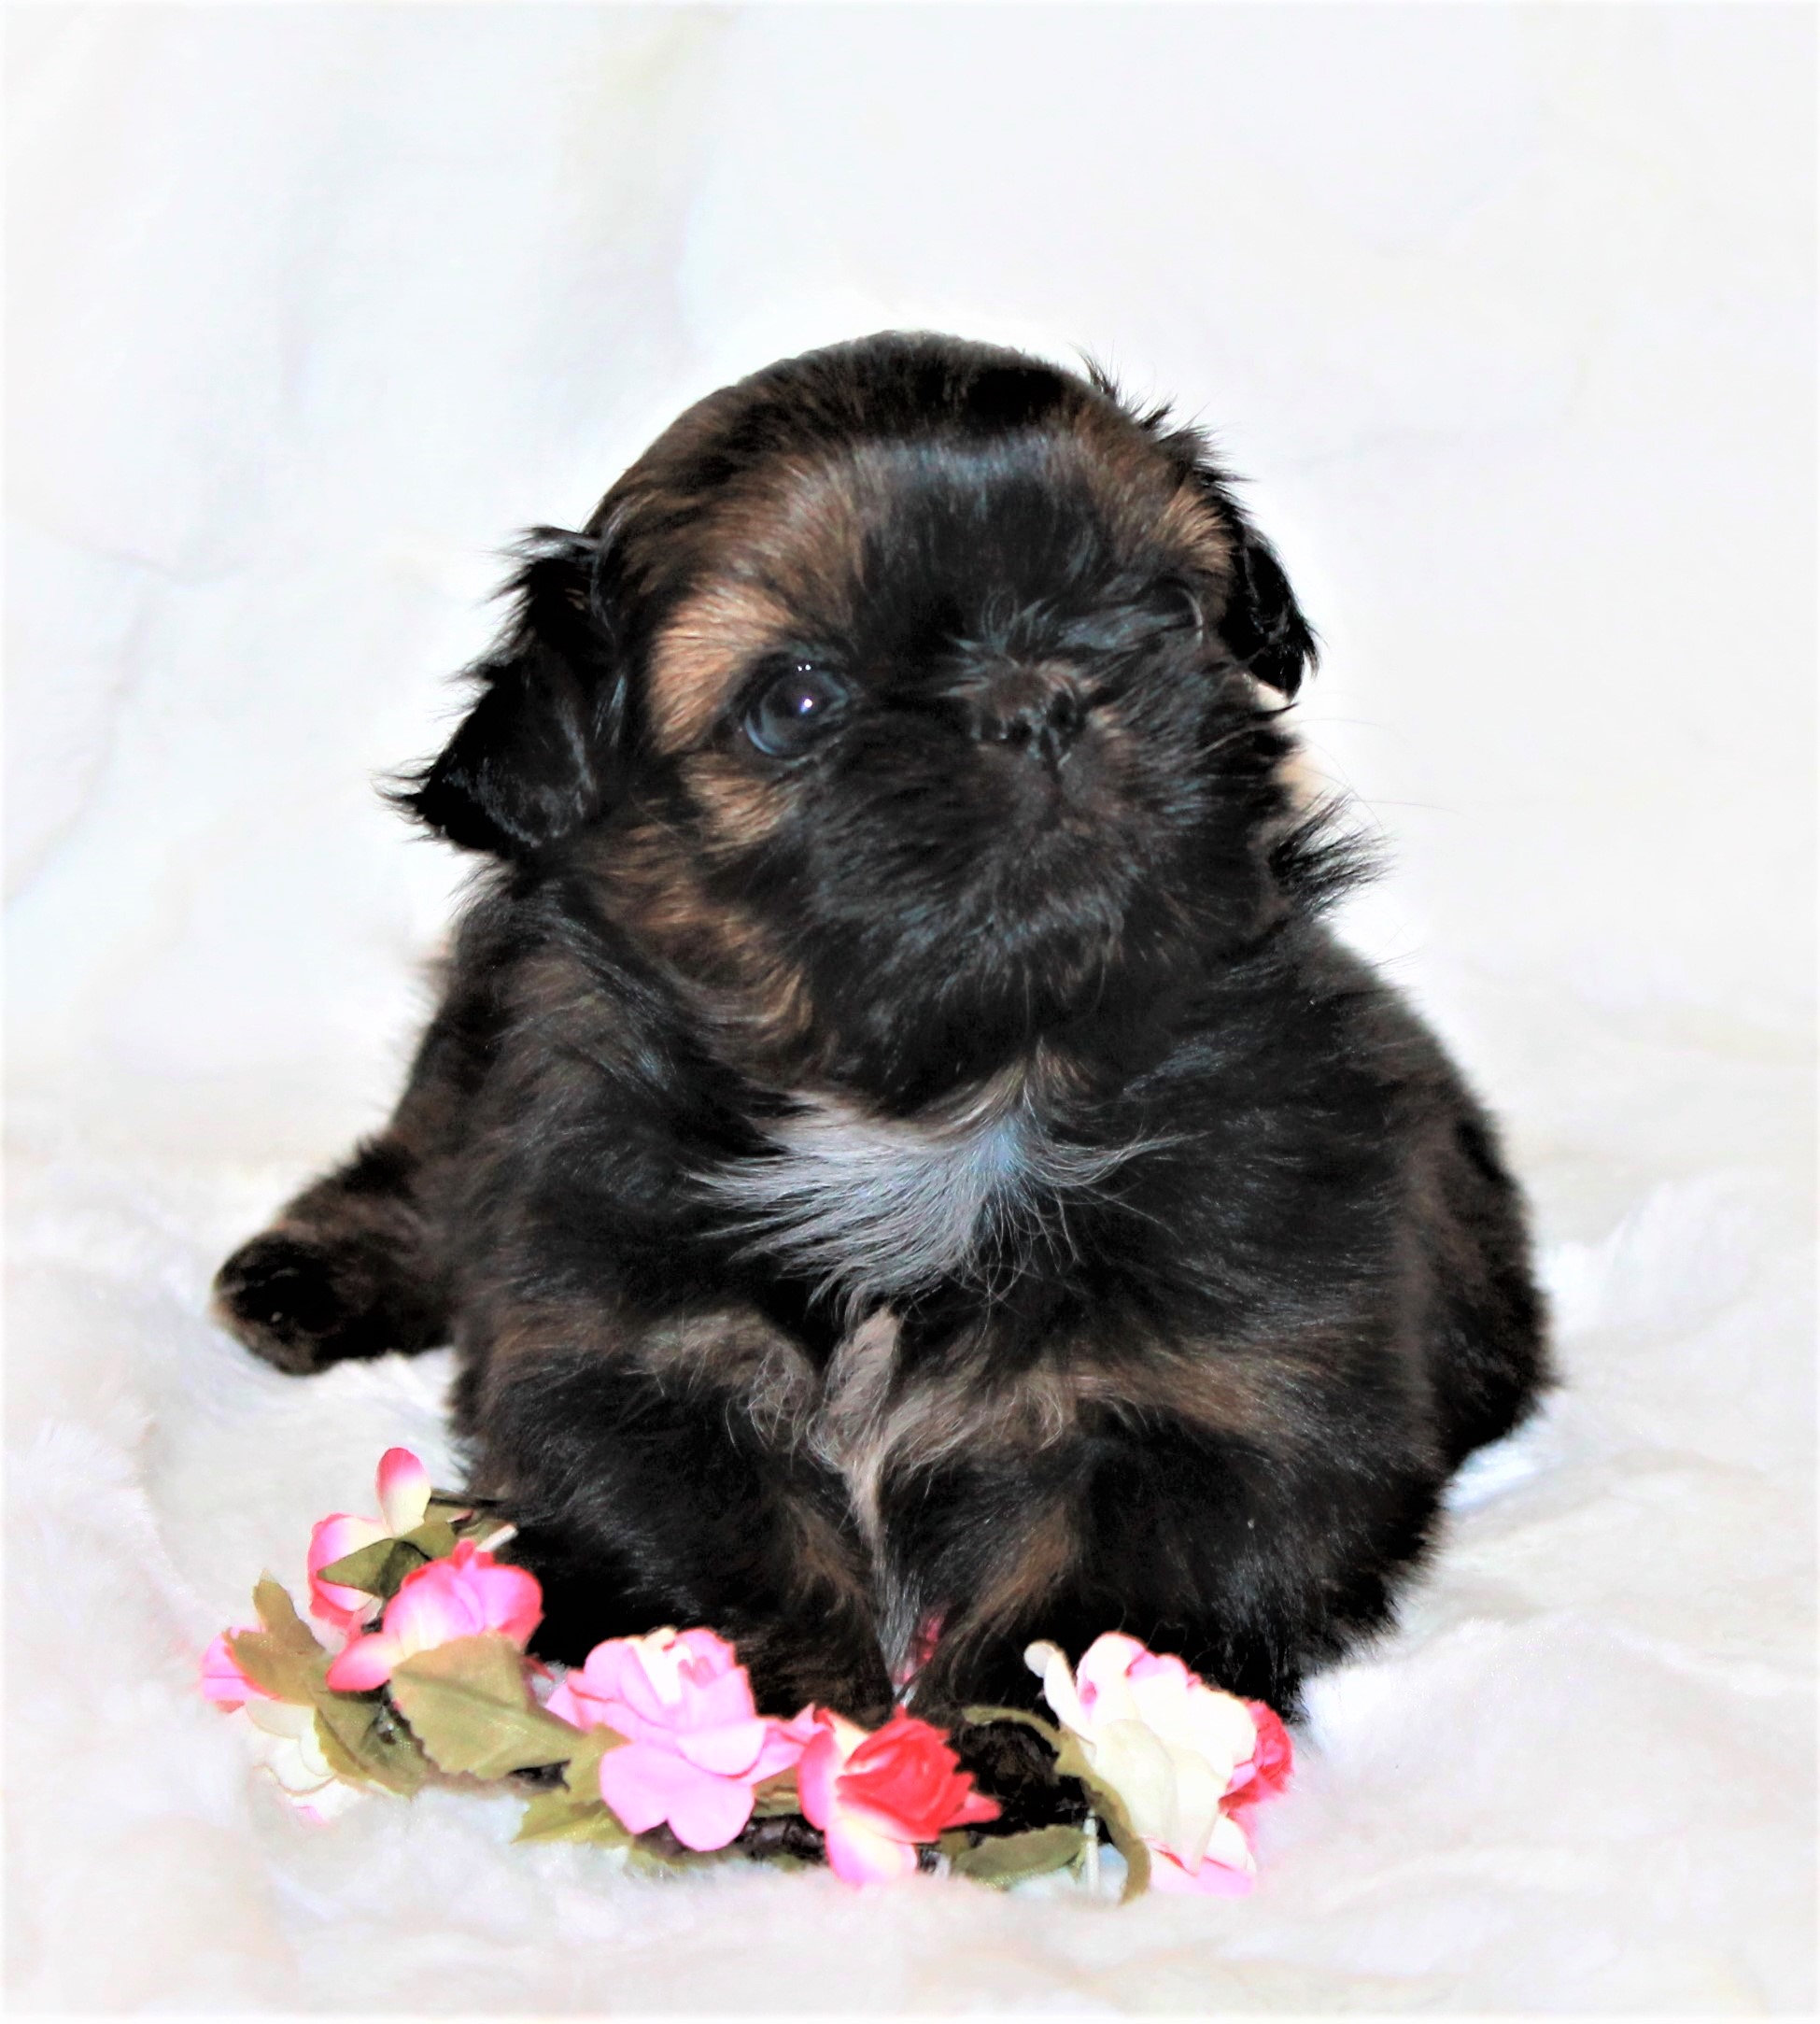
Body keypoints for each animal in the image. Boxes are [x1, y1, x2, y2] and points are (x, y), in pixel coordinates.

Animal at [216, 332, 1554, 1740]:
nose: (1039, 696)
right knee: (426, 1146)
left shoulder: (1239, 1399)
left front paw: (1015, 1752)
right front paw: (792, 1721)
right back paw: (305, 1273)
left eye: (1169, 612)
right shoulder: (611, 1361)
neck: (944, 1112)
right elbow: (706, 1537)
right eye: (795, 702)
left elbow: (1104, 1599)